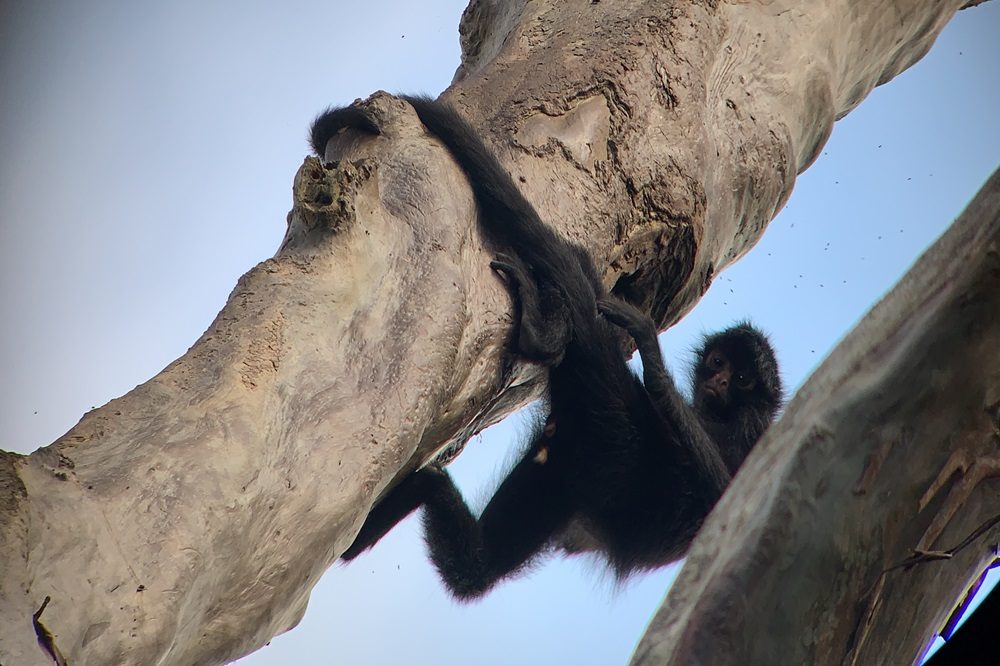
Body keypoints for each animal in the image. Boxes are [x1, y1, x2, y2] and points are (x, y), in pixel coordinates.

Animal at [310, 96, 780, 600]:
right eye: (718, 363)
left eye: (743, 378)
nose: (721, 380)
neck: (728, 413)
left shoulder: (748, 434)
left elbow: (718, 488)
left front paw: (646, 341)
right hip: (563, 463)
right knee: (475, 566)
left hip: (616, 434)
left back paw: (541, 336)